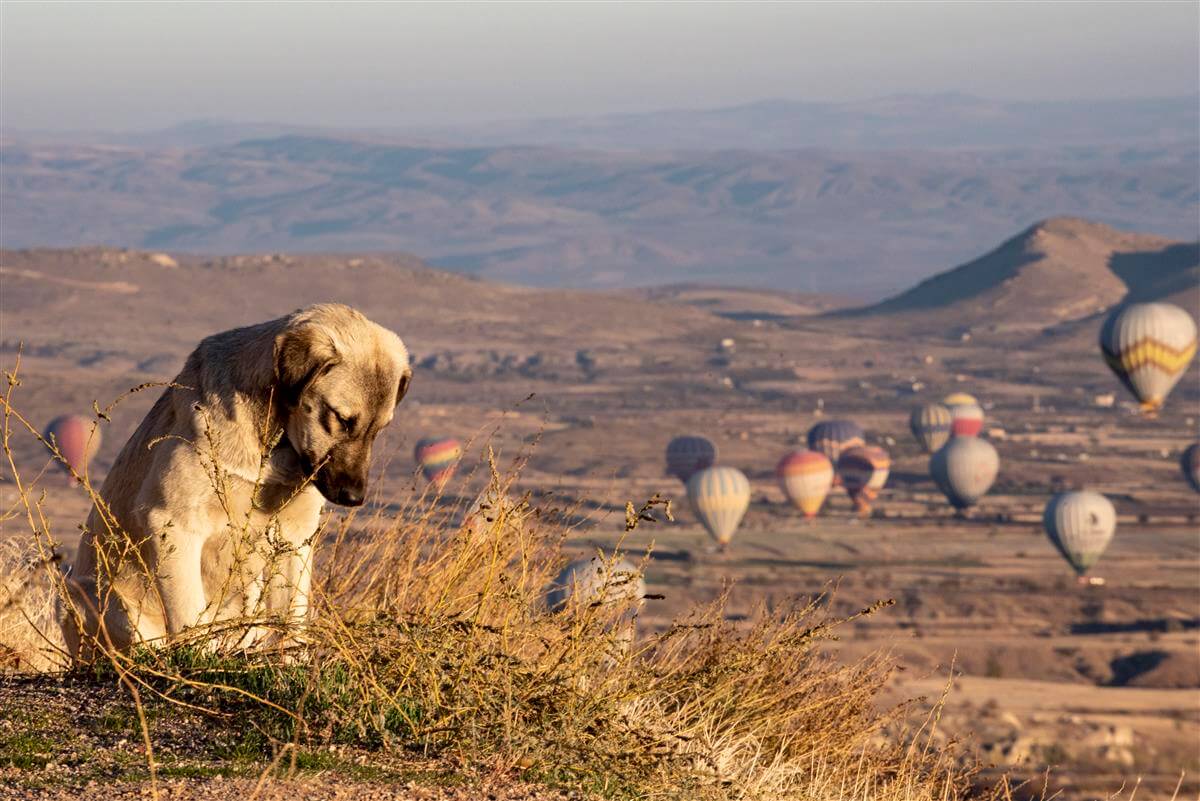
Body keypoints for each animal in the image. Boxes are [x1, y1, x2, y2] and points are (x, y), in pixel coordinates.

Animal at [62, 303, 412, 661]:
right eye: (341, 419)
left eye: (379, 429)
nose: (354, 497)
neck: (273, 446)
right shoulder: (172, 523)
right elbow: (189, 618)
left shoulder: (295, 535)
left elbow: (292, 620)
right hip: (95, 598)